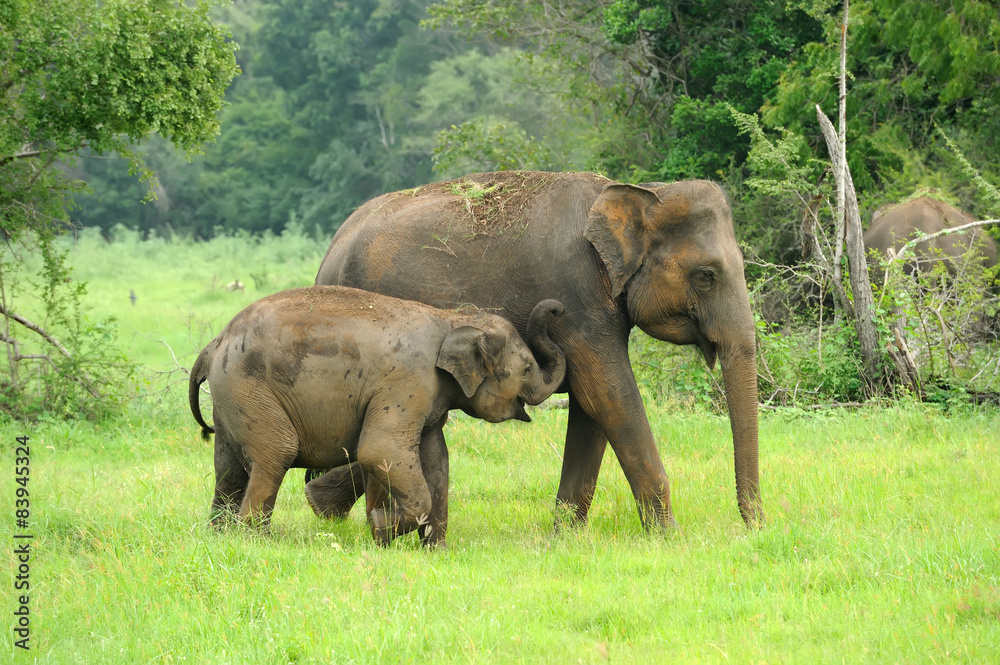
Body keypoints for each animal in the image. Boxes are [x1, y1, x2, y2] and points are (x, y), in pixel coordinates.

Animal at [188, 285, 566, 547]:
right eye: (527, 367)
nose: (559, 308)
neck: (451, 319)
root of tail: (213, 344)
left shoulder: (429, 397)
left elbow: (436, 460)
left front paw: (436, 550)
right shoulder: (407, 382)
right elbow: (379, 450)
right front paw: (381, 527)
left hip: (231, 400)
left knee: (229, 469)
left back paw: (220, 537)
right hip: (249, 390)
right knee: (276, 454)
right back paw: (256, 542)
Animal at [312, 170, 762, 529]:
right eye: (706, 276)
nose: (755, 527)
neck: (647, 190)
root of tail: (329, 252)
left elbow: (591, 407)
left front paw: (564, 537)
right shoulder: (576, 296)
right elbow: (608, 396)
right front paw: (667, 539)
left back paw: (321, 503)